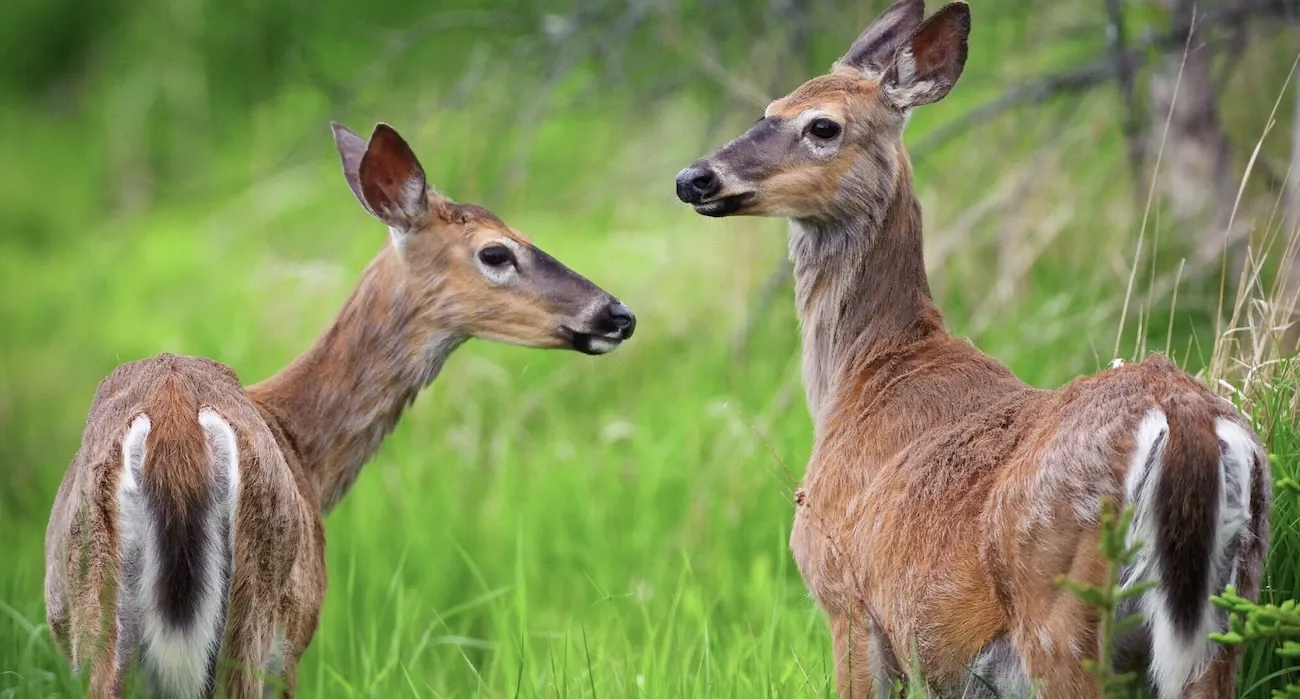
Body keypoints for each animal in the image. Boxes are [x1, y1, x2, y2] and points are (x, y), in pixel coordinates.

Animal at [48, 120, 637, 696]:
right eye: (496, 252)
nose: (619, 314)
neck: (302, 448)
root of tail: (176, 426)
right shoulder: (295, 639)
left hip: (98, 624)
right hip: (258, 616)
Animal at [676, 2, 1274, 691]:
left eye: (822, 125)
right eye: (769, 107)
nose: (694, 178)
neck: (859, 378)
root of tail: (1182, 415)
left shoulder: (845, 597)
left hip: (1059, 605)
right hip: (1228, 606)